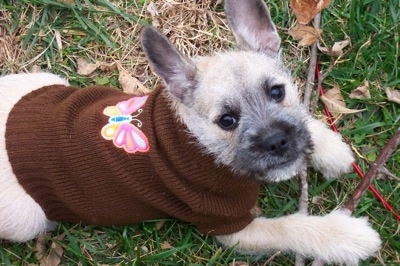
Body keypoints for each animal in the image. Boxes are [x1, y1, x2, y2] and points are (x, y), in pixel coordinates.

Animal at [0, 0, 382, 264]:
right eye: (226, 121)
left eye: (277, 91)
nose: (277, 142)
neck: (198, 144)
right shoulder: (234, 229)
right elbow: (291, 226)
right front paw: (345, 236)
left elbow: (302, 116)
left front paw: (330, 148)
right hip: (26, 218)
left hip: (48, 81)